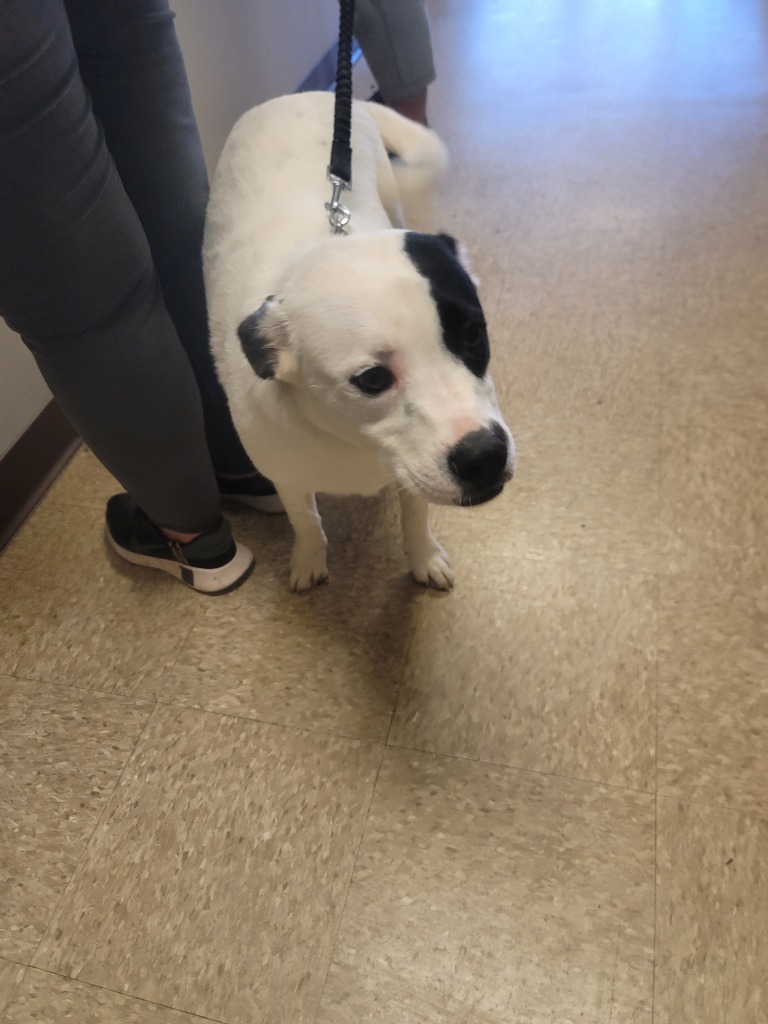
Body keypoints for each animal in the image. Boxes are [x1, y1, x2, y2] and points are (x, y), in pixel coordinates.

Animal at [204, 93, 518, 598]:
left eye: (473, 334)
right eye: (372, 379)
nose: (485, 456)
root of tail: (303, 94)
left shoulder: (412, 478)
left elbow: (416, 517)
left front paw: (423, 557)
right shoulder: (286, 476)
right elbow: (305, 520)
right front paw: (309, 557)